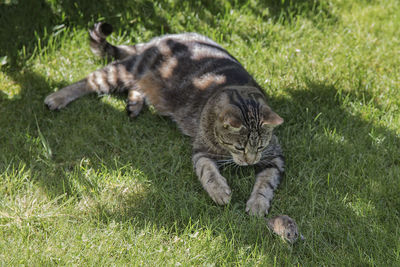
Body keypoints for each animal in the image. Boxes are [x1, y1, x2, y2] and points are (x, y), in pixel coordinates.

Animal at [45, 22, 286, 217]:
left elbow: (265, 183)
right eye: (239, 147)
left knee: (134, 88)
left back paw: (134, 104)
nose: (250, 161)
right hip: (123, 71)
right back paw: (57, 97)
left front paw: (257, 204)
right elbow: (208, 173)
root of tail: (161, 39)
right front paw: (220, 191)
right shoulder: (200, 152)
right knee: (89, 79)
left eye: (260, 146)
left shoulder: (275, 157)